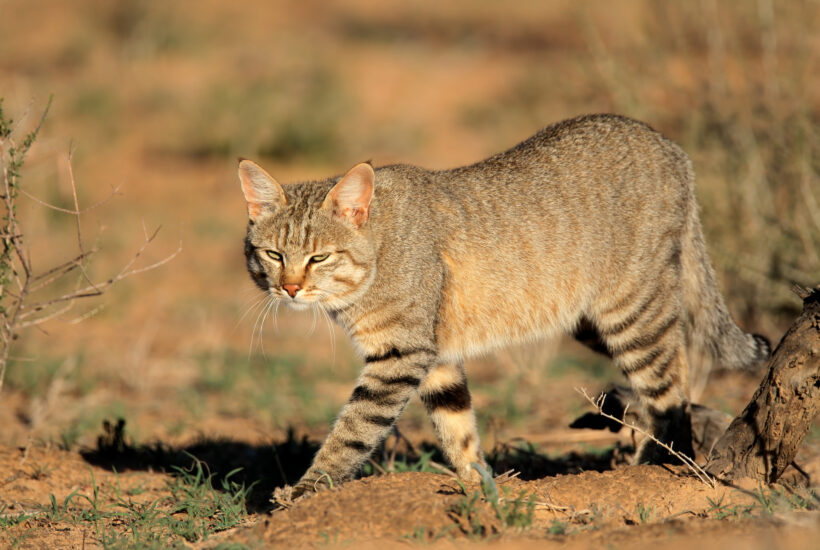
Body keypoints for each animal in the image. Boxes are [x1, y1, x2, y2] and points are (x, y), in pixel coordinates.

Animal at [237, 113, 768, 500]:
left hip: (631, 309)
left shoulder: (400, 355)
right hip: (590, 320)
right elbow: (457, 428)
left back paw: (659, 465)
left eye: (319, 257)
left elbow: (352, 429)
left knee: (673, 380)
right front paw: (479, 485)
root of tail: (671, 148)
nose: (289, 289)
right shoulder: (437, 357)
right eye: (273, 255)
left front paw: (308, 488)